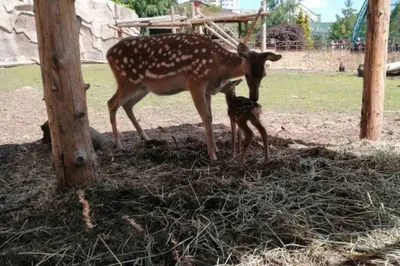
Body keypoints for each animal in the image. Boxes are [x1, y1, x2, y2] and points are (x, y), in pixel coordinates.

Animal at [106, 32, 282, 160]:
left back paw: (146, 138)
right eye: (247, 74)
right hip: (127, 80)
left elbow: (210, 116)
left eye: (264, 74)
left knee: (127, 105)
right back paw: (119, 145)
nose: (254, 98)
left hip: (142, 87)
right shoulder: (195, 82)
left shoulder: (207, 89)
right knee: (111, 103)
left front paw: (215, 148)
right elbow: (206, 117)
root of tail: (108, 53)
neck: (218, 66)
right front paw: (212, 155)